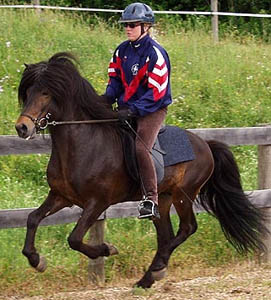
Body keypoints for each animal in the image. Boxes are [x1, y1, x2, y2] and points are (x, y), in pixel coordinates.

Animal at [15, 52, 270, 288]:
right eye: (28, 93)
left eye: (46, 93)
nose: (22, 127)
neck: (84, 145)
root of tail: (205, 145)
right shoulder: (61, 196)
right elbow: (32, 218)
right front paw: (37, 260)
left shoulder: (97, 203)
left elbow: (74, 238)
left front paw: (107, 249)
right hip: (162, 199)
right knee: (166, 235)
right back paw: (149, 277)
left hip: (183, 195)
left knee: (186, 229)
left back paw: (156, 269)